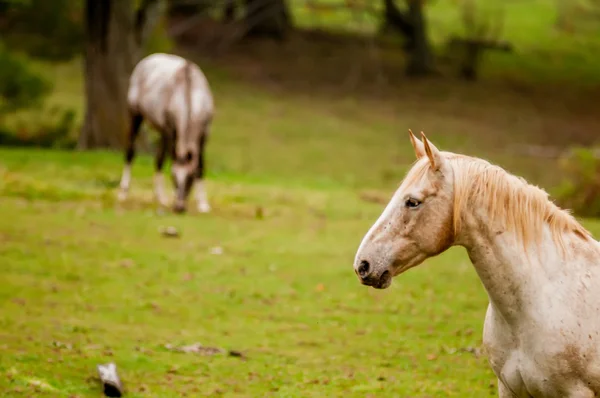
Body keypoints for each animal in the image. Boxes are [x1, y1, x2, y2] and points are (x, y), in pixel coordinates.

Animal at [117, 55, 213, 215]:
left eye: (190, 179)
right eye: (173, 178)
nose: (179, 207)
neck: (188, 91)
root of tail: (147, 60)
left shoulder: (203, 135)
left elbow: (200, 165)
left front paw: (203, 204)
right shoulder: (170, 131)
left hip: (161, 133)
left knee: (158, 159)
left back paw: (159, 196)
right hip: (135, 116)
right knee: (131, 152)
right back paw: (124, 192)